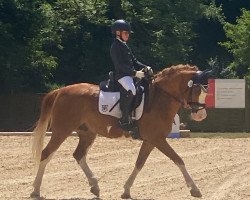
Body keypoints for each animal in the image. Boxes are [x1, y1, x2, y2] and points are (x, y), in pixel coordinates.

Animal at [31, 64, 210, 198]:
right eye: (197, 90)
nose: (201, 115)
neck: (160, 98)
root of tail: (61, 91)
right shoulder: (158, 139)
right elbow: (178, 160)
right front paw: (195, 189)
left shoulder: (150, 140)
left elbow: (139, 163)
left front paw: (126, 190)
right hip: (62, 130)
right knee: (46, 153)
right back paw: (36, 190)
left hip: (87, 133)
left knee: (79, 155)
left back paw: (95, 186)